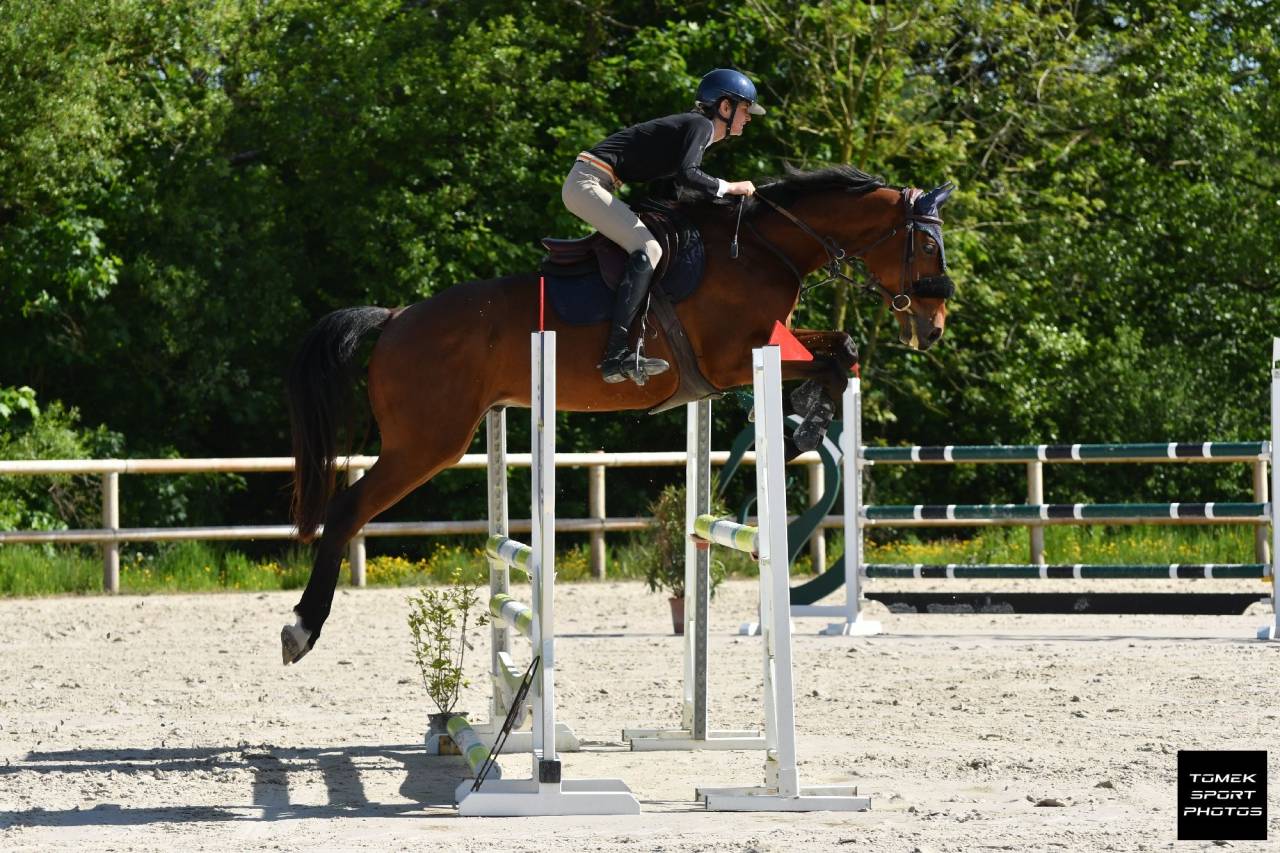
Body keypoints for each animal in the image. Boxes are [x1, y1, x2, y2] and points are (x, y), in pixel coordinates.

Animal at [281, 165, 954, 663]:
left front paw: (806, 422)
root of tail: (395, 318)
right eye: (927, 243)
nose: (933, 327)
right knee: (346, 510)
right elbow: (835, 357)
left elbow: (843, 350)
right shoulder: (734, 360)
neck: (764, 249)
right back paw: (301, 628)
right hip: (427, 444)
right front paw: (805, 427)